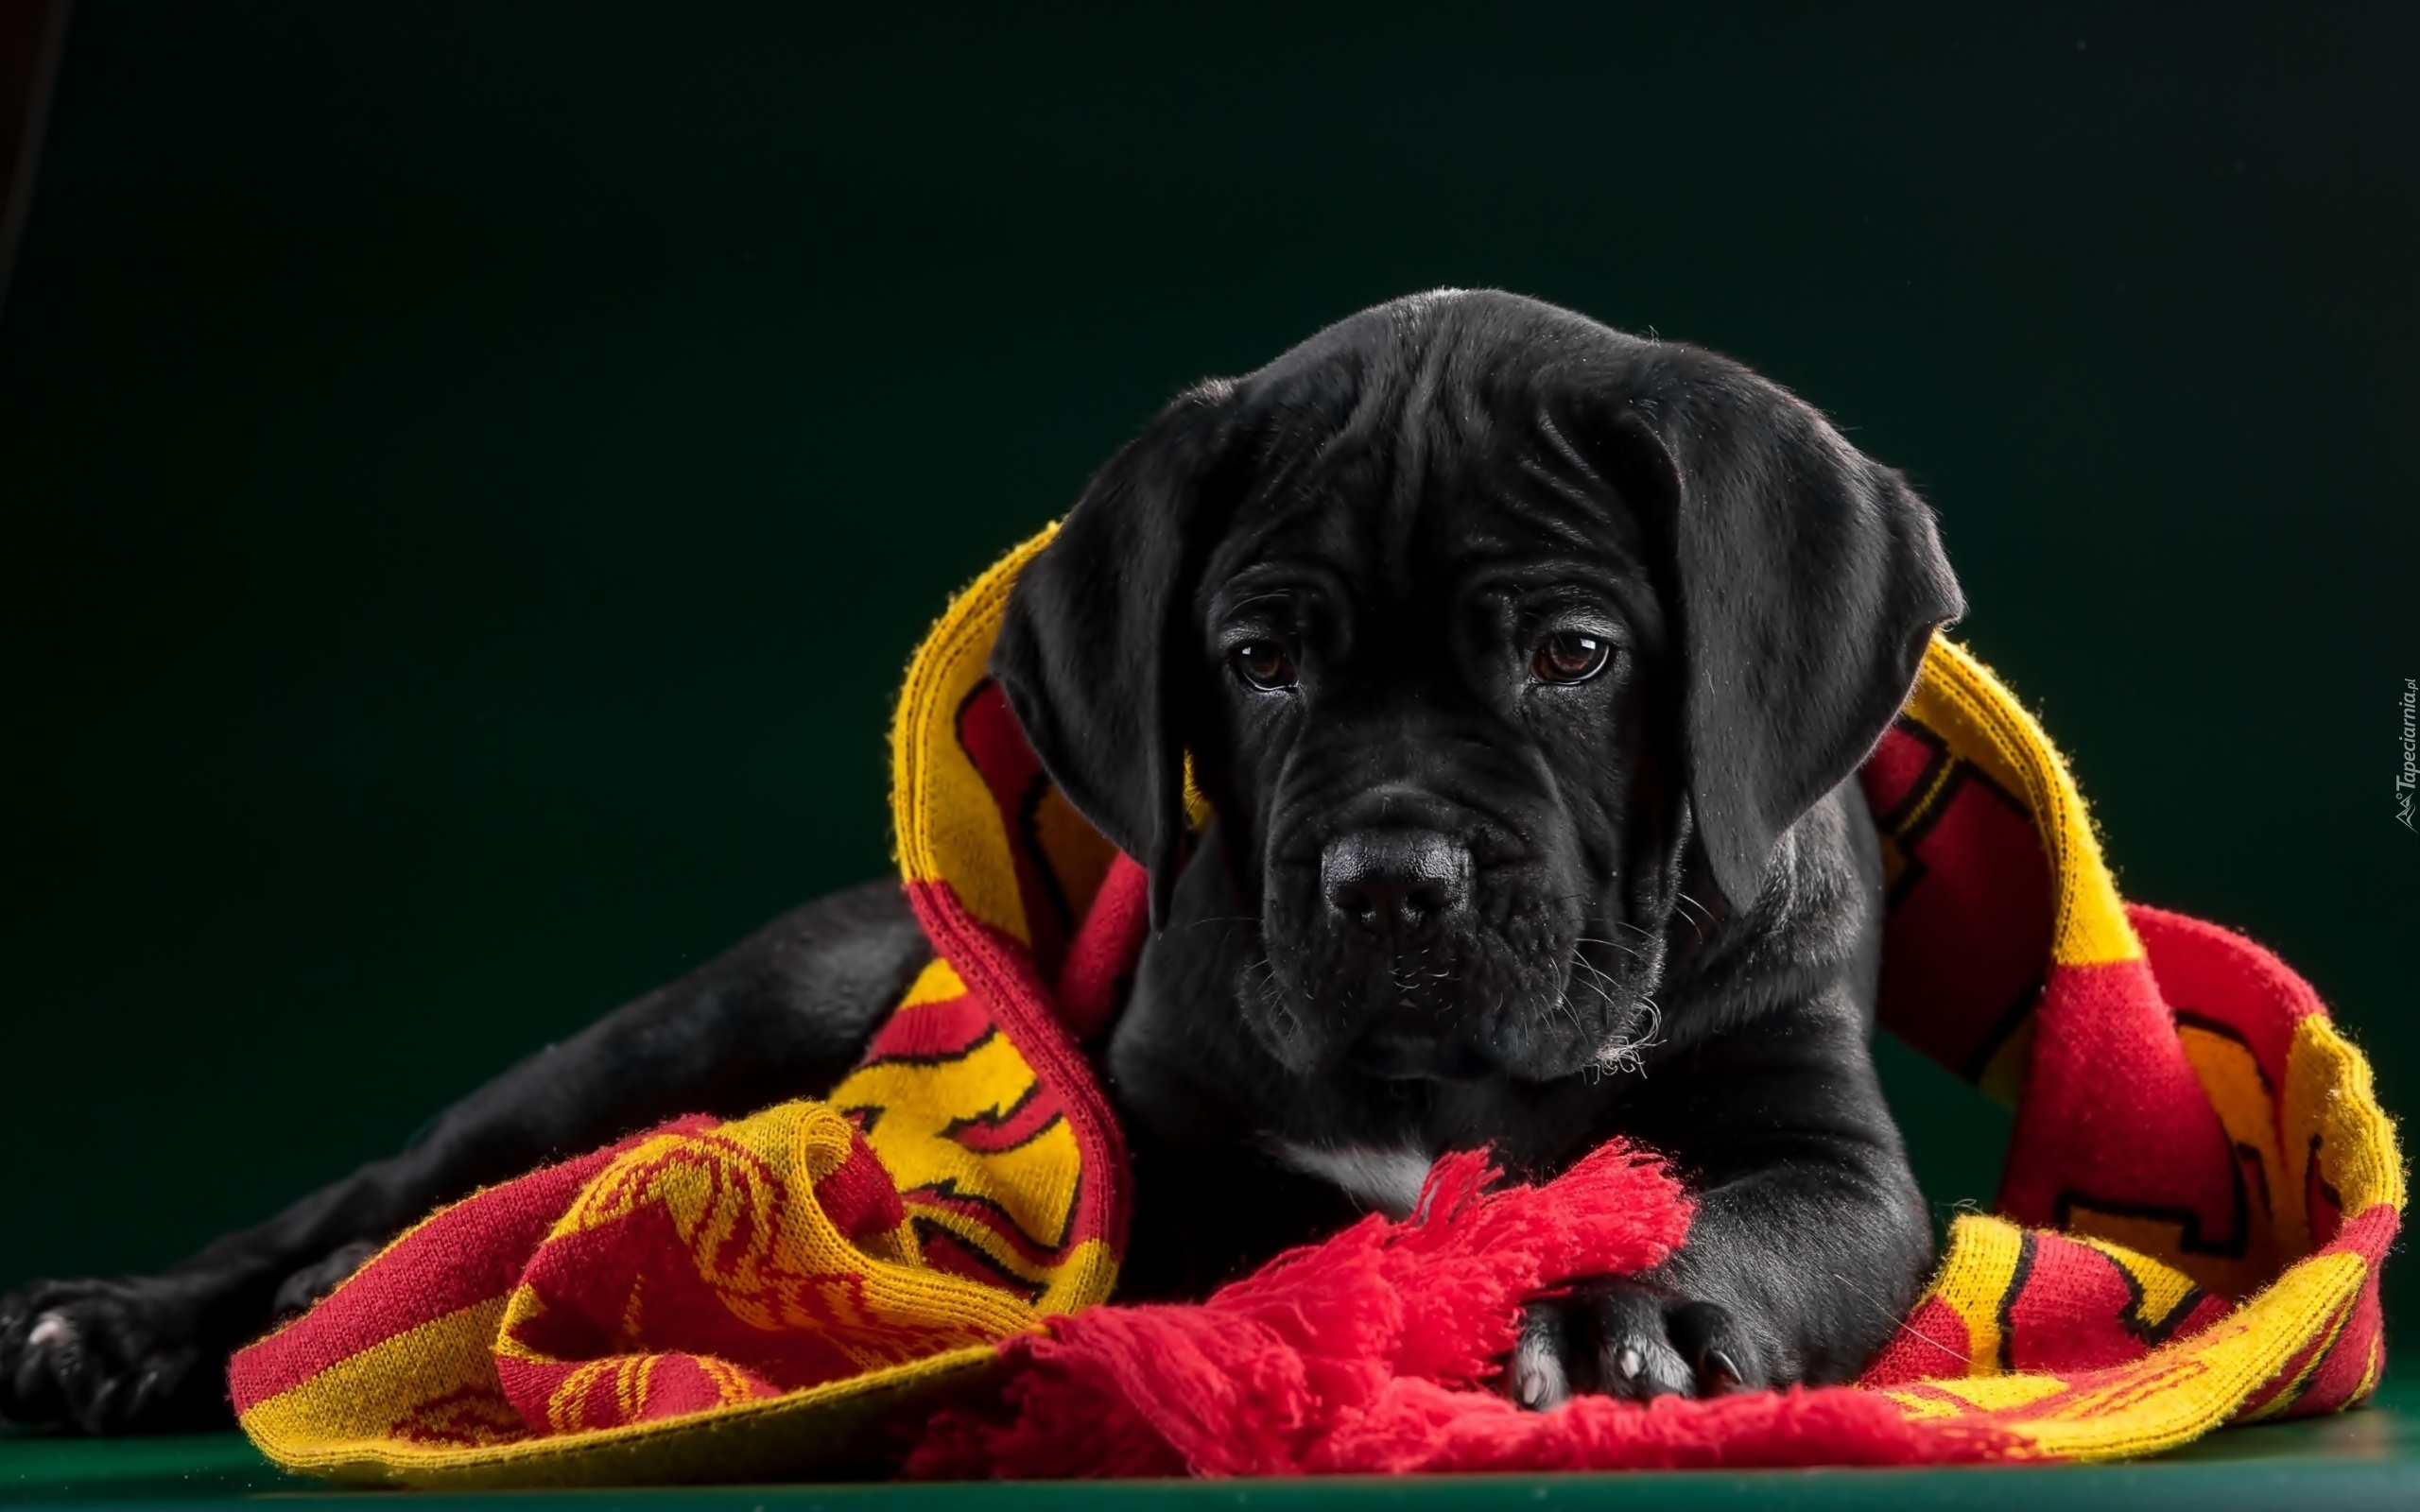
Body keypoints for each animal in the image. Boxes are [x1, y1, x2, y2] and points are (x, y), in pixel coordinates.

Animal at [0, 290, 1961, 1434]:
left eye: (1574, 654)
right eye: (1260, 660)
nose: (1392, 881)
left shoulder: (1831, 1153)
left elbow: (1751, 1213)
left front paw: (1626, 1315)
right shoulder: (1155, 1156)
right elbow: (1230, 1237)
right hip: (689, 1029)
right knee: (387, 1184)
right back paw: (148, 1320)